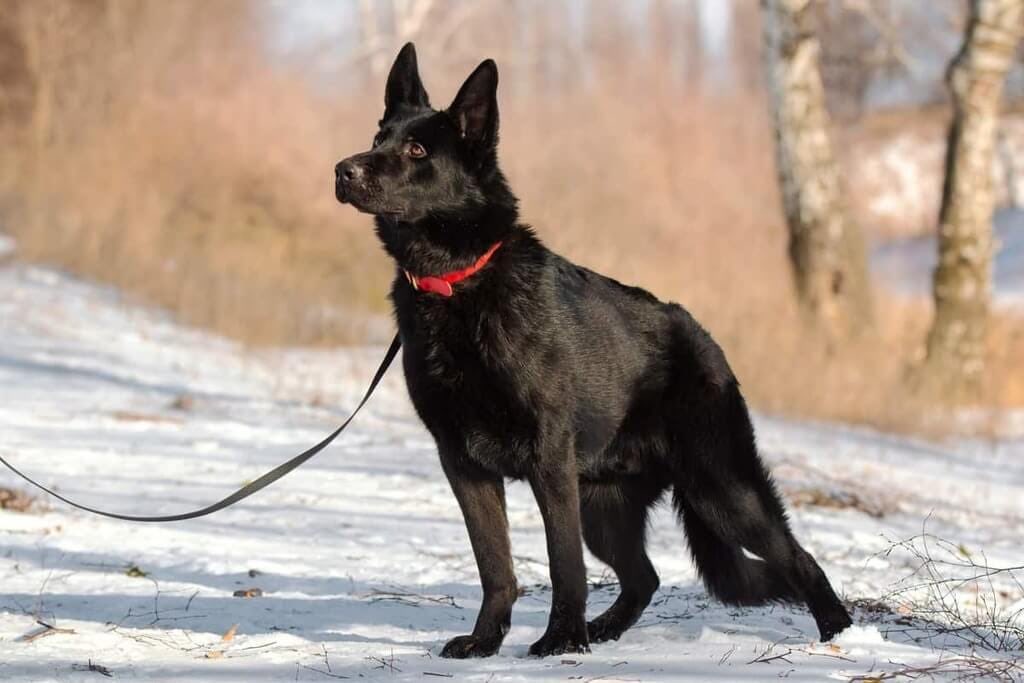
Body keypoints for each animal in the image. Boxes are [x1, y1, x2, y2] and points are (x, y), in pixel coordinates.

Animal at [334, 43, 853, 658]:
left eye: (417, 150)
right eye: (379, 136)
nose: (342, 171)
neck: (457, 282)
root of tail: (707, 342)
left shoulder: (549, 461)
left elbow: (564, 564)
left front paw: (560, 639)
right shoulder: (462, 464)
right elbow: (495, 566)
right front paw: (487, 642)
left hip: (721, 490)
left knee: (799, 557)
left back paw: (840, 635)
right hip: (606, 507)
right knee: (645, 577)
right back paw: (604, 630)